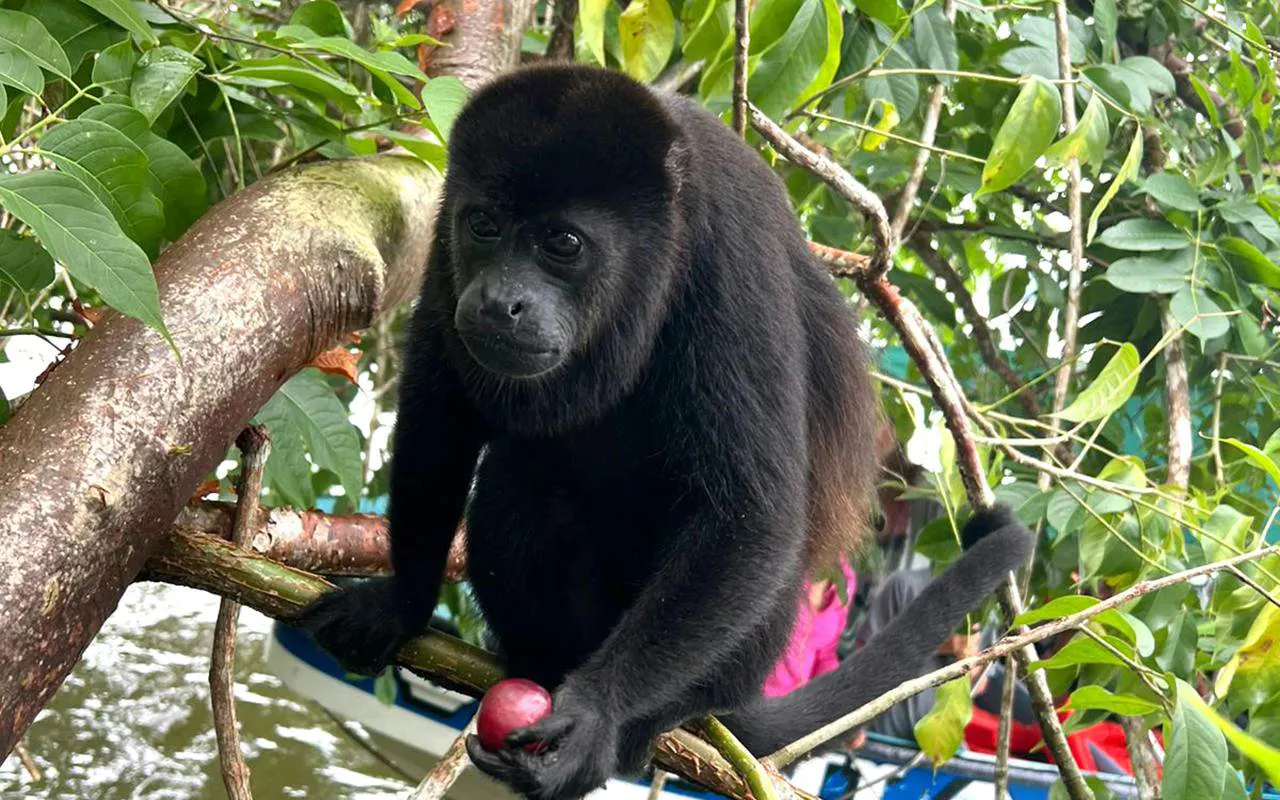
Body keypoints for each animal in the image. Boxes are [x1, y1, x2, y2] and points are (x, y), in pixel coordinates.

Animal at [295, 63, 1034, 800]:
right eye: (483, 225)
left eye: (563, 244)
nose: (500, 301)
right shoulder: (445, 255)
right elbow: (438, 422)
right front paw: (403, 600)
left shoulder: (729, 247)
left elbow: (748, 514)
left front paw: (597, 715)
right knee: (521, 474)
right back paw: (538, 658)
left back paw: (647, 723)